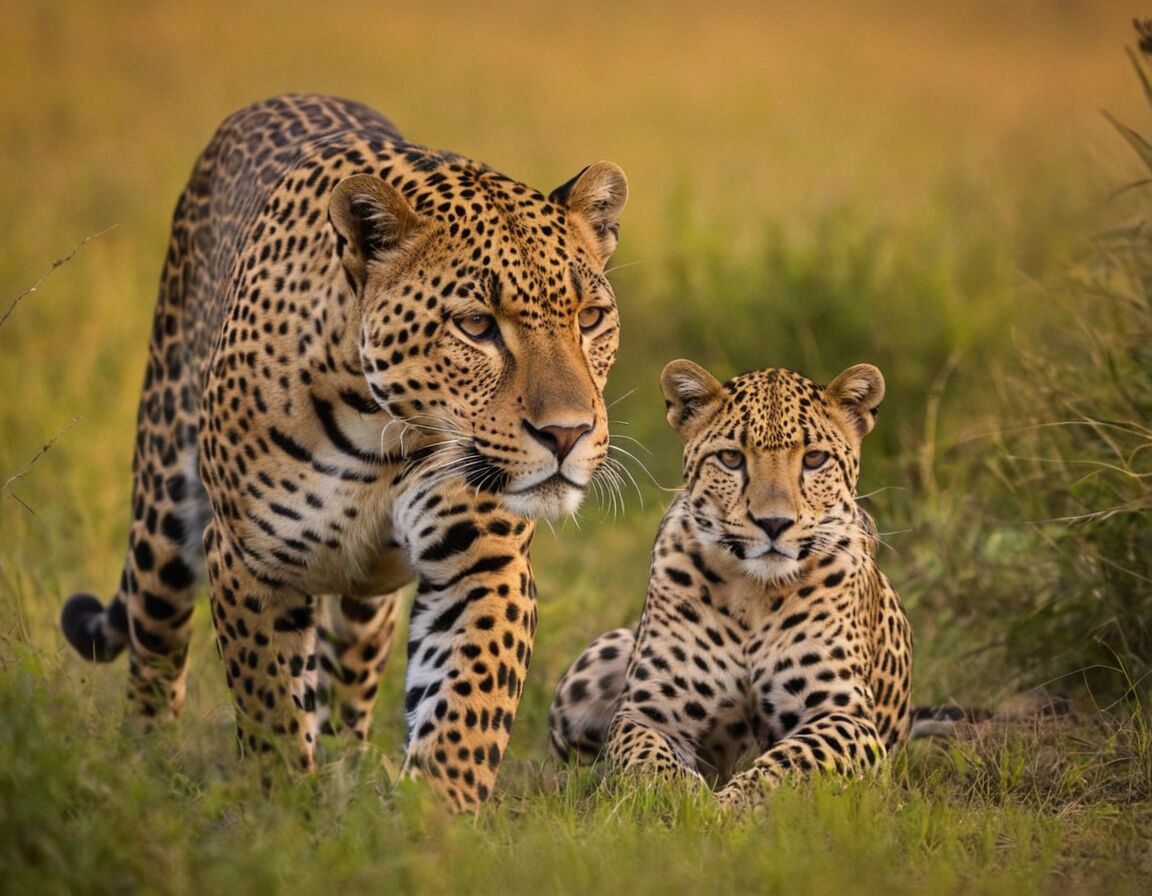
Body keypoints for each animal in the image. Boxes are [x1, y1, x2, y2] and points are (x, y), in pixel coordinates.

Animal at [59, 93, 628, 812]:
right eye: (476, 326)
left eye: (590, 318)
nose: (567, 434)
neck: (379, 429)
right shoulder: (250, 561)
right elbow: (271, 703)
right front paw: (281, 808)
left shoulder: (482, 561)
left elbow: (465, 707)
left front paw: (432, 818)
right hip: (162, 507)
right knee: (154, 643)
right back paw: (145, 761)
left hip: (369, 598)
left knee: (350, 672)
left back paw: (347, 763)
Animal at [548, 358, 913, 810]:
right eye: (730, 458)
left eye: (814, 459)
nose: (774, 523)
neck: (756, 594)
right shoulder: (647, 713)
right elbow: (650, 760)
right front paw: (683, 803)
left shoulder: (844, 715)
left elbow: (789, 762)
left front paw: (727, 808)